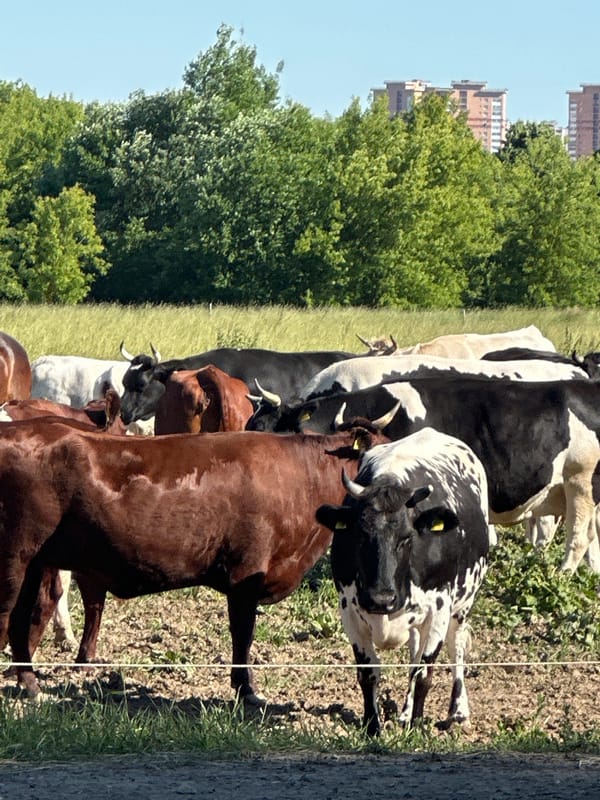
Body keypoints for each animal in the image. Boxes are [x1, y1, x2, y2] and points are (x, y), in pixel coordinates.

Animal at [0, 420, 387, 702]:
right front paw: (246, 690)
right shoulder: (246, 575)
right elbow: (243, 635)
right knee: (7, 614)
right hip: (14, 557)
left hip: (33, 562)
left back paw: (30, 684)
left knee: (22, 619)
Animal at [316, 428, 491, 735]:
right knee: (413, 651)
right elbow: (369, 673)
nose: (381, 599)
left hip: (462, 605)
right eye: (359, 535)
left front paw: (416, 727)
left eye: (407, 537)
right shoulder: (349, 611)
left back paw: (457, 711)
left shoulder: (439, 609)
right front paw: (372, 726)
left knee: (455, 646)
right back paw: (406, 712)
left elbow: (424, 673)